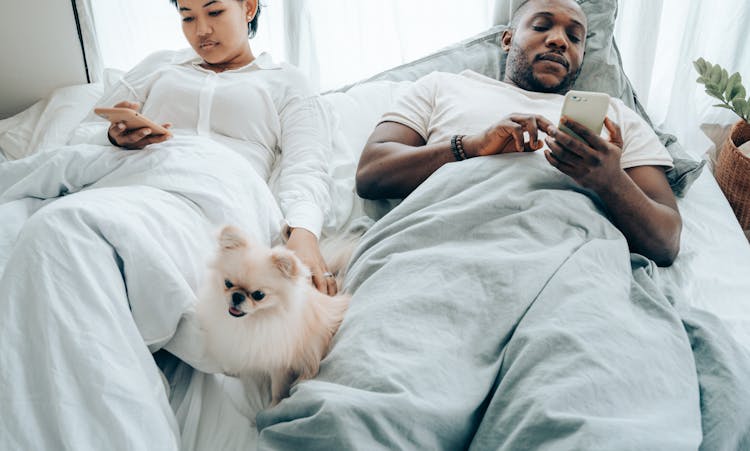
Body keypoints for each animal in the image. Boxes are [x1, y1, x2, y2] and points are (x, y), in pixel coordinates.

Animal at [197, 226, 356, 406]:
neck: (254, 320)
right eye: (228, 283)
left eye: (258, 295)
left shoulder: (279, 365)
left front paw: (274, 404)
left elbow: (278, 388)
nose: (237, 296)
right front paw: (232, 370)